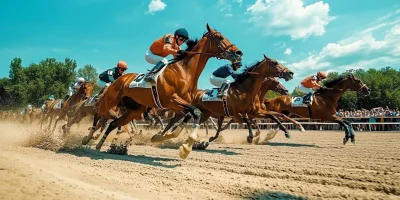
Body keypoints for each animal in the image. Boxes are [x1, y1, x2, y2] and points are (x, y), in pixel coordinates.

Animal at [82, 23, 242, 159]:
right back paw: (87, 138)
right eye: (220, 37)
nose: (238, 53)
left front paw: (161, 137)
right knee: (98, 112)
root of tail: (121, 78)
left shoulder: (177, 104)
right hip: (111, 99)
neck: (184, 71)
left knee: (113, 123)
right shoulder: (171, 100)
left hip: (134, 110)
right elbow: (195, 113)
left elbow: (189, 116)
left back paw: (99, 144)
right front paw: (186, 148)